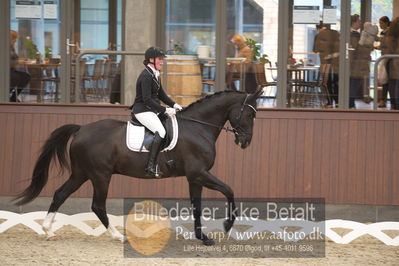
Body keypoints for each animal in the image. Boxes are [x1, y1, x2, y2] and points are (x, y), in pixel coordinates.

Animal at [14, 89, 264, 245]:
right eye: (249, 114)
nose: (245, 142)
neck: (198, 127)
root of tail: (81, 129)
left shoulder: (194, 177)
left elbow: (197, 206)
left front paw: (203, 238)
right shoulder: (200, 173)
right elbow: (229, 190)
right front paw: (228, 224)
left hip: (81, 173)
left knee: (60, 194)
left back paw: (48, 231)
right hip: (100, 175)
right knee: (98, 205)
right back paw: (119, 237)